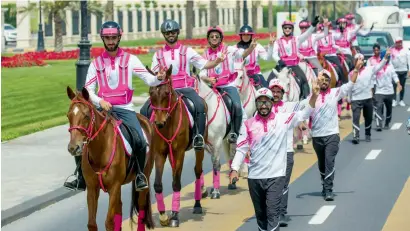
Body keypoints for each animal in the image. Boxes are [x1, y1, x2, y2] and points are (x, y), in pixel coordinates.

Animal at [65, 86, 155, 231]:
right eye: (68, 115)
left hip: (145, 174)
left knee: (141, 206)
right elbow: (92, 223)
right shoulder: (92, 188)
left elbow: (109, 222)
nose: (73, 147)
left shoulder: (114, 187)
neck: (100, 151)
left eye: (86, 116)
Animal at [145, 65, 208, 227]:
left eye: (167, 93)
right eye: (151, 92)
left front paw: (174, 216)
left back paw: (197, 204)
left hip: (199, 147)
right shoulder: (160, 154)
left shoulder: (179, 152)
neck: (168, 124)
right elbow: (158, 184)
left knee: (197, 171)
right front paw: (163, 216)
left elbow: (176, 183)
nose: (159, 122)